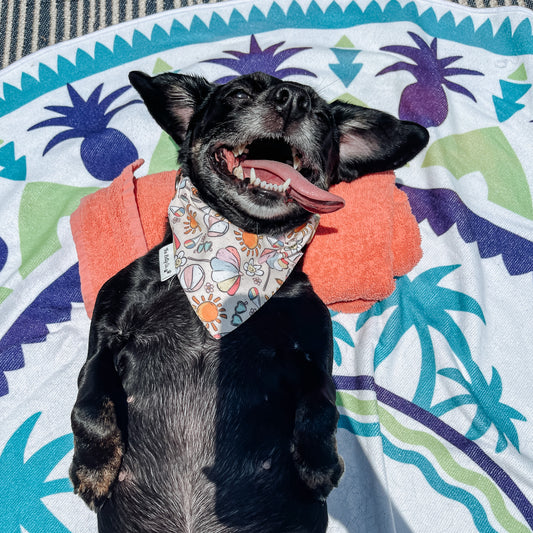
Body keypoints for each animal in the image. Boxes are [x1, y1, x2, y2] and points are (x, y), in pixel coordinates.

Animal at [70, 71, 428, 532]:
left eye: (323, 119)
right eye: (238, 93)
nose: (293, 99)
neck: (233, 259)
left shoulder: (313, 352)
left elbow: (322, 403)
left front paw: (318, 462)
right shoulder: (105, 335)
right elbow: (91, 402)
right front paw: (94, 468)